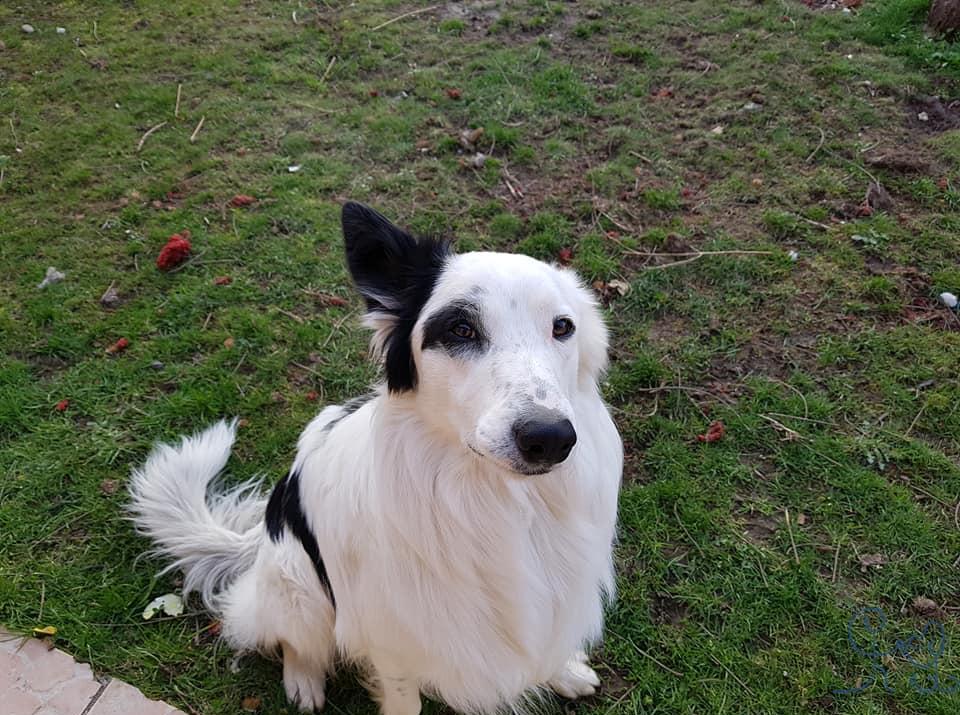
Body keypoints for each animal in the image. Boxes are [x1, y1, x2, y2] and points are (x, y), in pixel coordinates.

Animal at [127, 203, 624, 715]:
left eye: (562, 327)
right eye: (460, 329)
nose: (550, 438)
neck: (497, 499)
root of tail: (262, 532)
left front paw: (563, 670)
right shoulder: (392, 638)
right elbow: (405, 700)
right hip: (298, 586)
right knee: (292, 639)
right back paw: (303, 680)